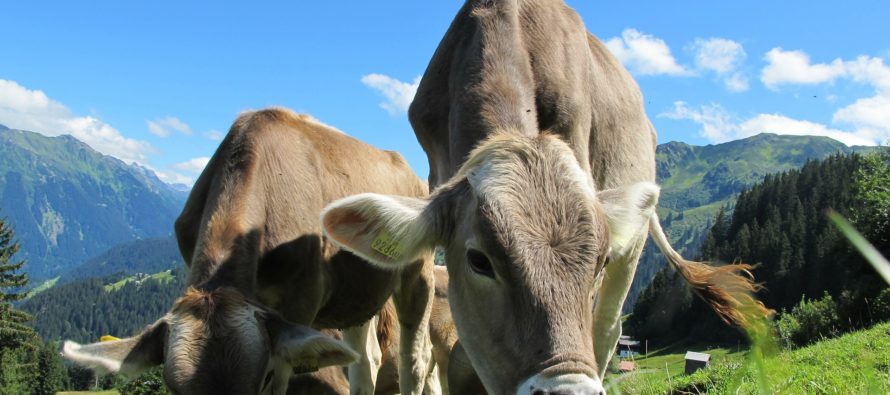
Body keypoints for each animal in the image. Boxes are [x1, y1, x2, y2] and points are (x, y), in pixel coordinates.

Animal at [60, 108, 436, 395]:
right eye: (173, 387)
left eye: (263, 376)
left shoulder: (300, 304)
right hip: (356, 295)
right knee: (366, 361)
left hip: (418, 272)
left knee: (415, 362)